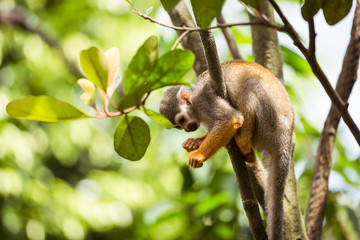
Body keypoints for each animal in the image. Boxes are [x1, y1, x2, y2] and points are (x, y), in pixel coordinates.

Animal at [159, 59, 294, 239]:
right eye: (177, 126)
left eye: (181, 120)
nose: (187, 129)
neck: (195, 104)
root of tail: (286, 139)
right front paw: (194, 143)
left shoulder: (203, 100)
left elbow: (230, 119)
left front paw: (198, 154)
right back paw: (248, 154)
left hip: (271, 125)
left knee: (252, 85)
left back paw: (243, 143)